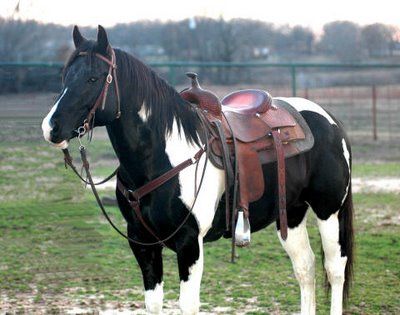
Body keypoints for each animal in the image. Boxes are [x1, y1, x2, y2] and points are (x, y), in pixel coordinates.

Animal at [40, 25, 354, 314]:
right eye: (64, 77)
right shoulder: (142, 243)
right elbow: (153, 304)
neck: (161, 157)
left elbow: (188, 305)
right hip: (292, 213)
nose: (50, 127)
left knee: (335, 268)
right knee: (306, 267)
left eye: (93, 78)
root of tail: (329, 120)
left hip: (328, 210)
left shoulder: (189, 242)